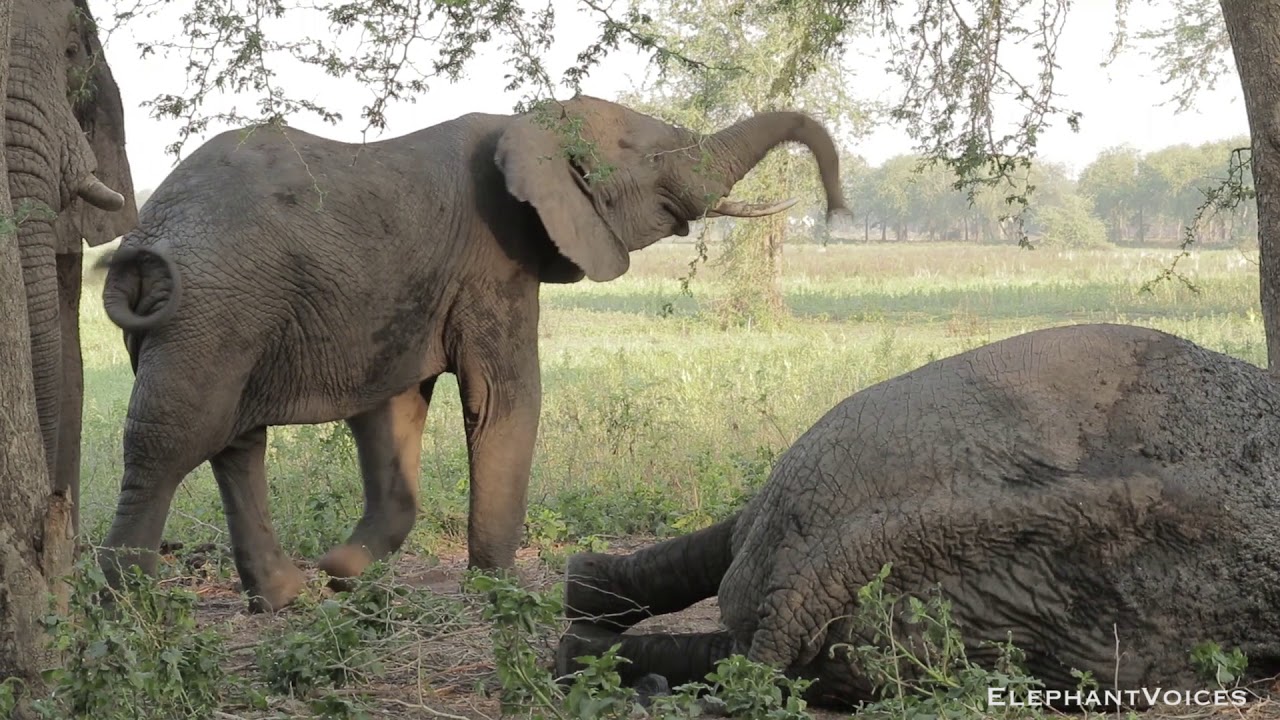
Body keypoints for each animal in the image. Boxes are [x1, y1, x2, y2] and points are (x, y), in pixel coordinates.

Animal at [94, 95, 854, 612]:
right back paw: (129, 608)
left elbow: (394, 409)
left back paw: (286, 599)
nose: (837, 207)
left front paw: (346, 570)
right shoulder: (495, 260)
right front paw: (503, 592)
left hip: (226, 317)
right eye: (655, 158)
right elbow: (503, 398)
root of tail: (144, 233)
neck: (533, 121)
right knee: (171, 443)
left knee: (234, 442)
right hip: (210, 310)